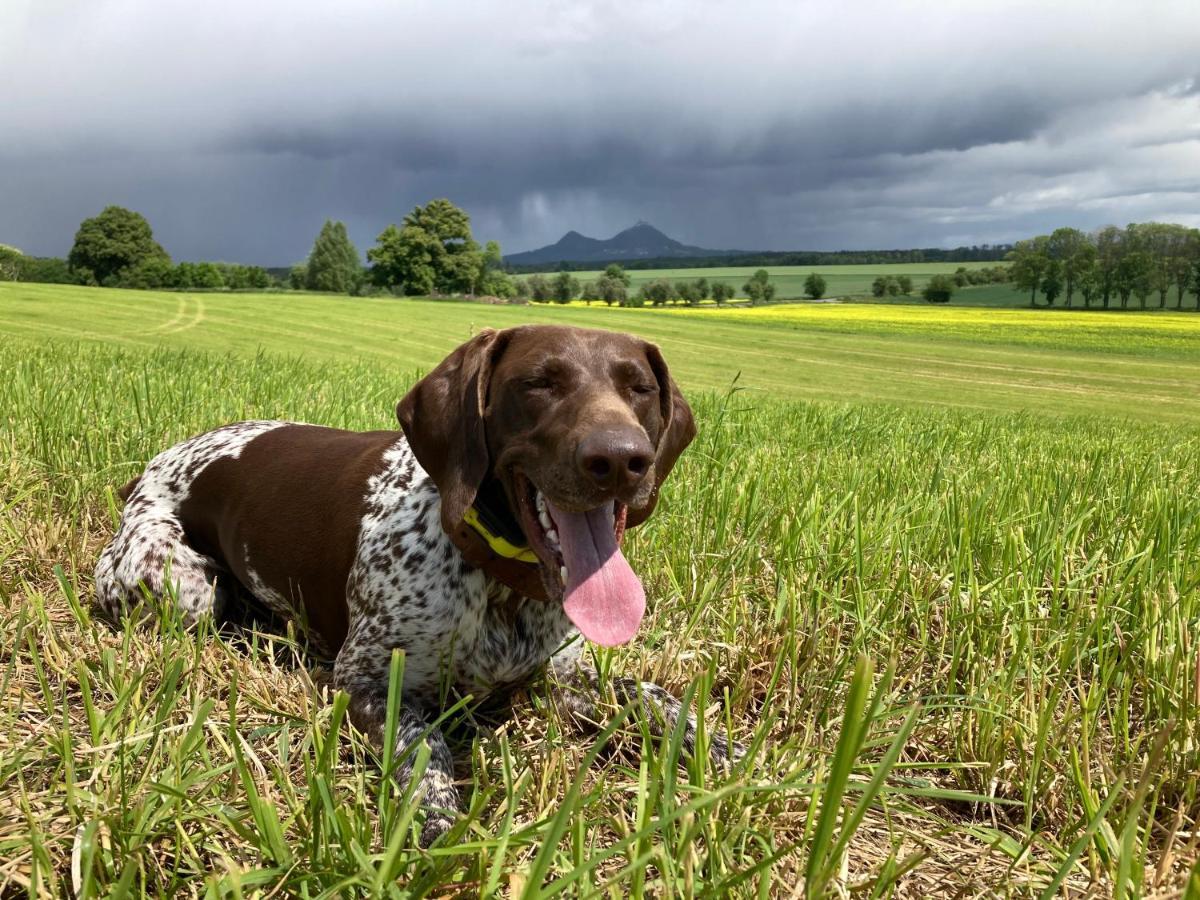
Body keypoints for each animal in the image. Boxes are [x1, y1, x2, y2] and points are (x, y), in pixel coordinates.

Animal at [96, 324, 739, 844]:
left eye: (640, 389)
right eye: (539, 382)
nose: (620, 459)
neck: (498, 583)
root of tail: (153, 465)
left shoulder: (561, 679)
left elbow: (651, 695)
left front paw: (723, 749)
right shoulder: (368, 682)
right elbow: (425, 746)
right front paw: (437, 820)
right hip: (181, 585)